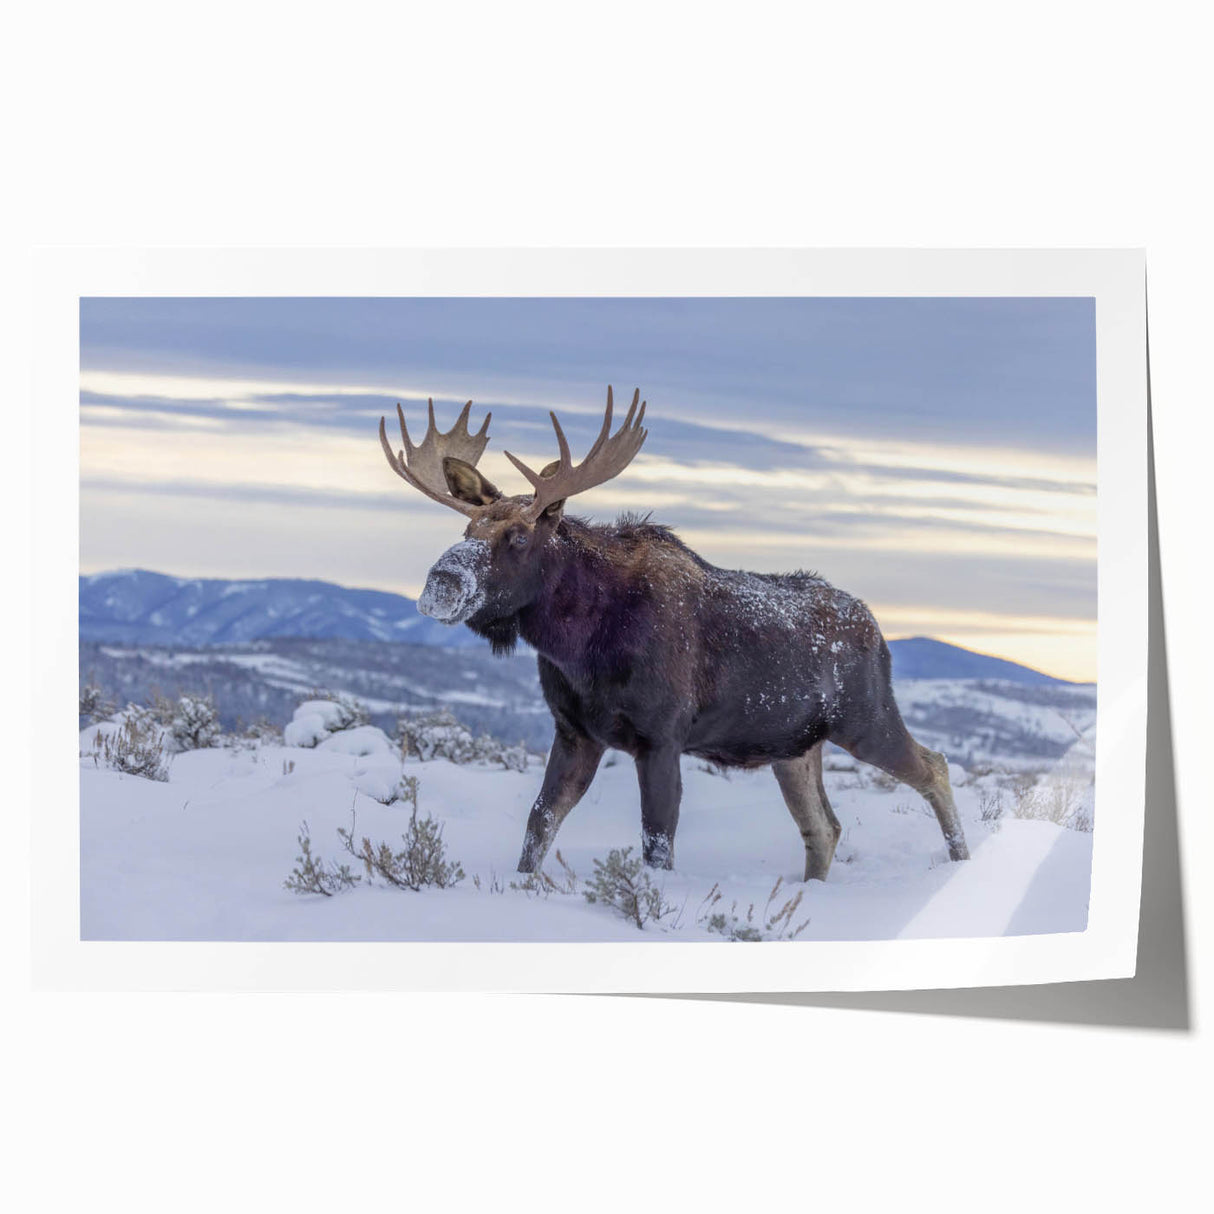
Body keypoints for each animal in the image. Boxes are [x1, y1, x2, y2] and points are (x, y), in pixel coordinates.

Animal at [379, 388, 969, 881]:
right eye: (467, 528)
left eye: (520, 535)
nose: (441, 582)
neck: (578, 644)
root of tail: (878, 631)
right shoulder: (575, 732)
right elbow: (538, 825)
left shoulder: (660, 737)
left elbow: (657, 843)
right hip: (793, 747)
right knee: (825, 827)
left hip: (865, 719)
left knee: (935, 768)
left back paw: (960, 862)